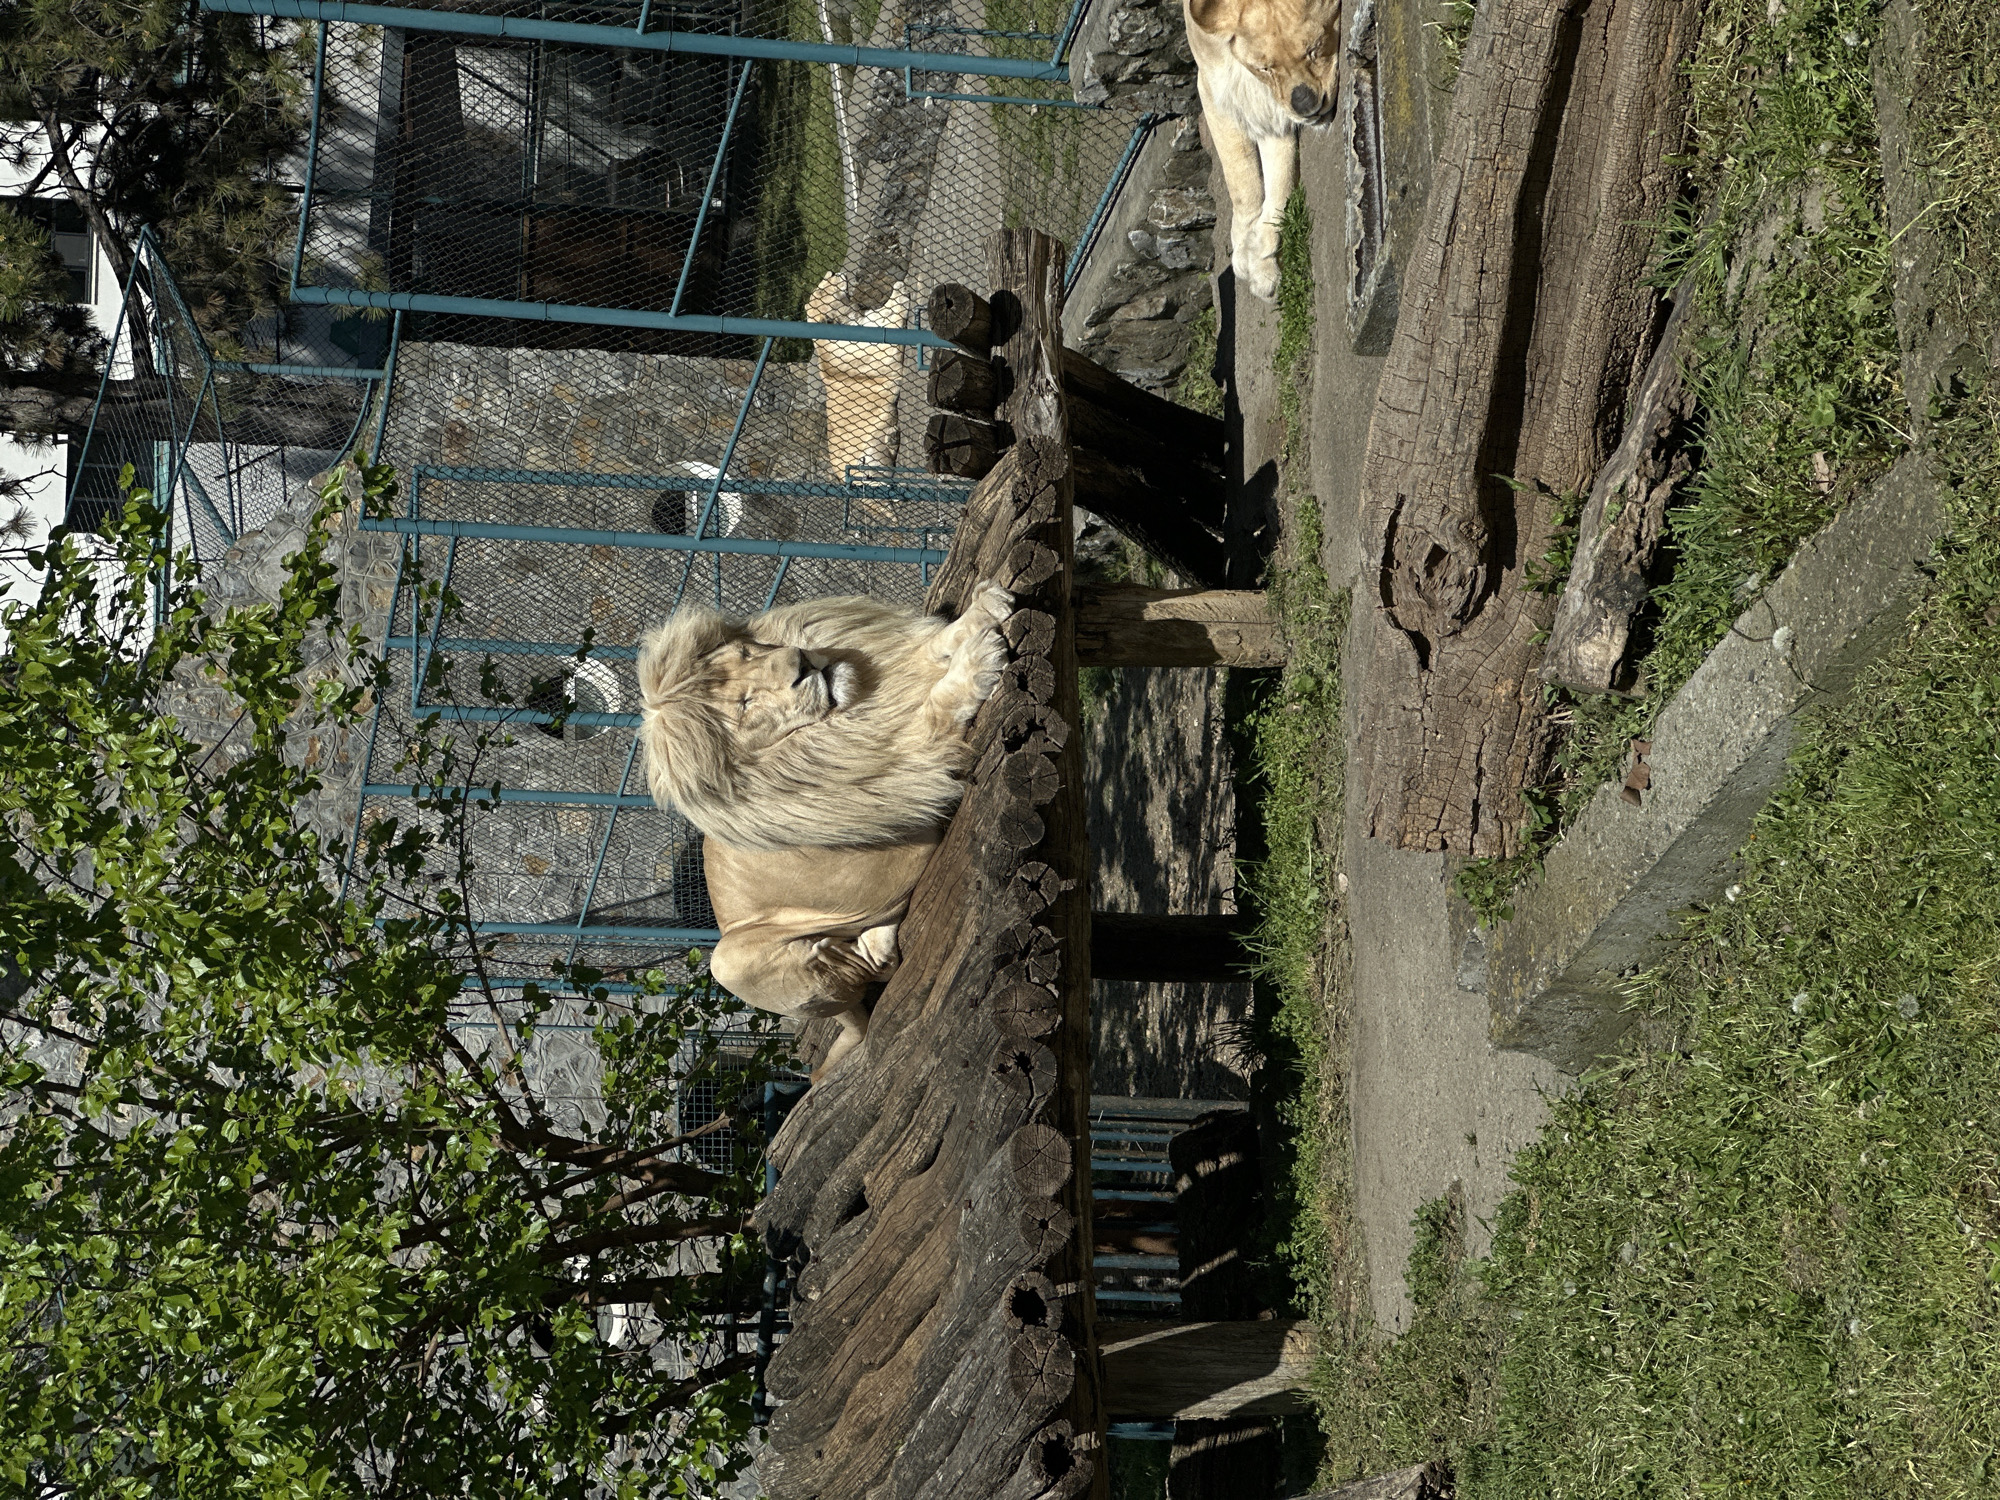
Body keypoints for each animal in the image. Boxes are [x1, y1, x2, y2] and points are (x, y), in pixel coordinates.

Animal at [637, 585, 1012, 1076]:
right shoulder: (908, 760)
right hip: (727, 961)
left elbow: (931, 646)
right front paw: (978, 659)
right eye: (745, 705)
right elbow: (940, 703)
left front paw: (984, 609)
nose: (800, 664)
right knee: (863, 977)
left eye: (747, 653)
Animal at [1184, 0, 1341, 302]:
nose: (1305, 104)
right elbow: (1241, 182)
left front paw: (1261, 263)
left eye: (1314, 48)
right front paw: (1245, 247)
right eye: (1265, 68)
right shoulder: (1212, 87)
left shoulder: (1273, 114)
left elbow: (1280, 182)